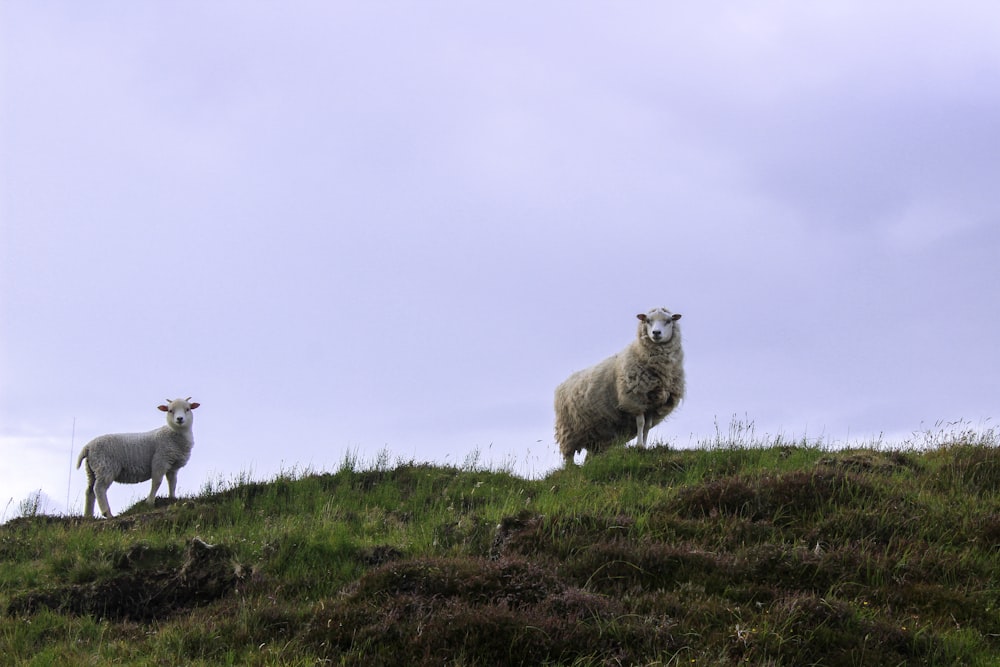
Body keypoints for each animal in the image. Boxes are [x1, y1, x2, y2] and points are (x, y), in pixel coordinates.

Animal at [556, 308, 688, 464]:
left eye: (668, 321)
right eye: (648, 320)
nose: (656, 333)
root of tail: (563, 383)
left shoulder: (652, 404)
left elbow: (647, 427)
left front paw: (645, 446)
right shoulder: (635, 399)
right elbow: (640, 423)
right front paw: (639, 446)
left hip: (594, 433)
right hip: (568, 430)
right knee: (568, 455)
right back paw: (572, 467)